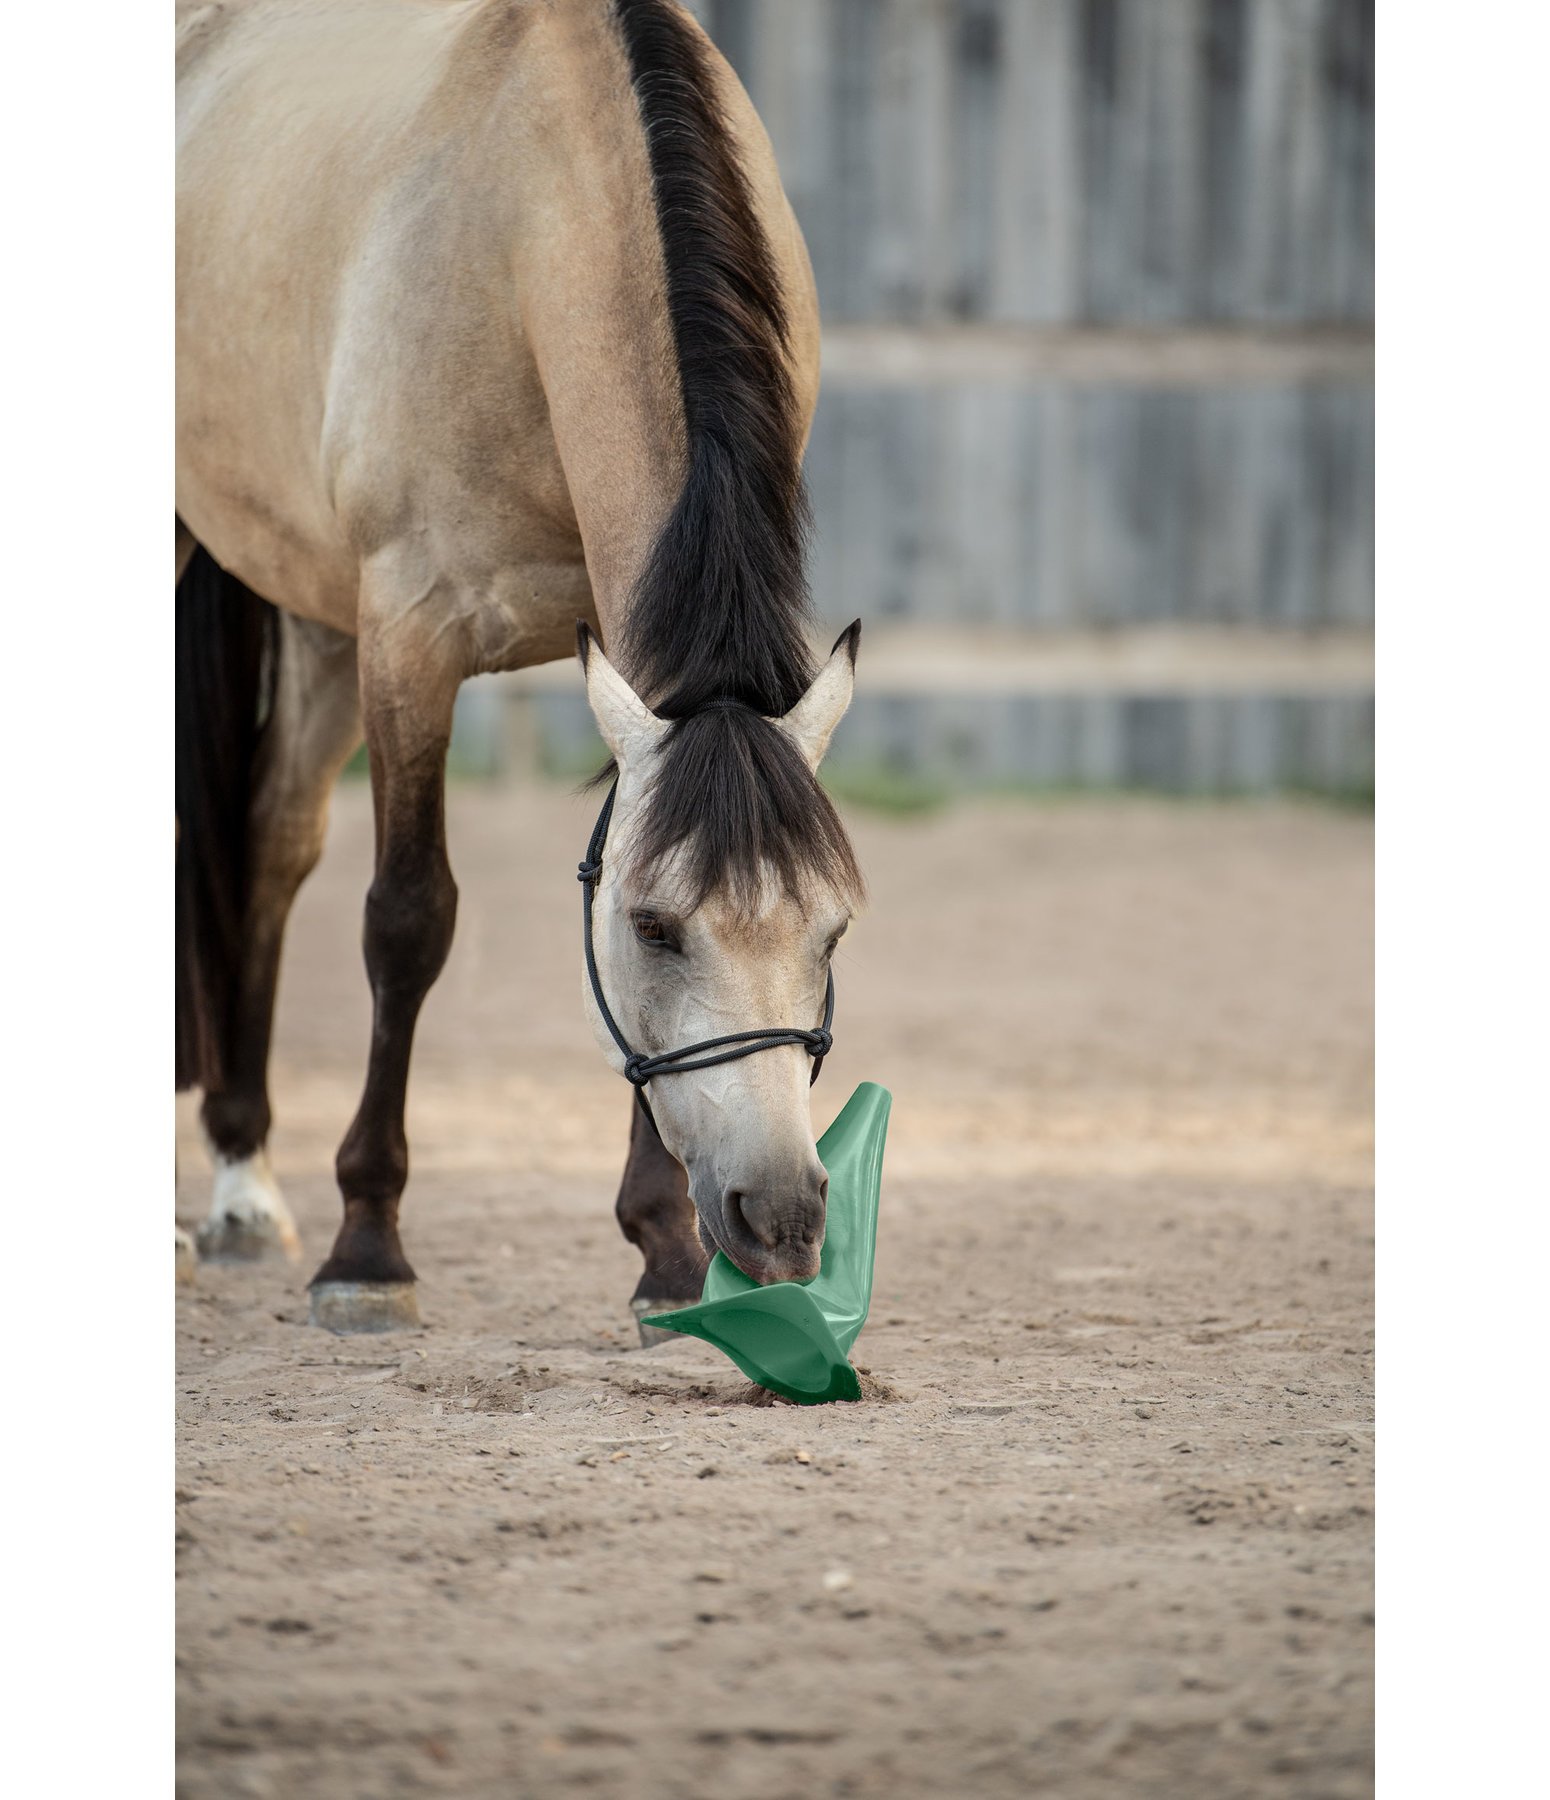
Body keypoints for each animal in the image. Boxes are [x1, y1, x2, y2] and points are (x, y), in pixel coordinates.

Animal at [178, 0, 871, 1339]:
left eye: (833, 930)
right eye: (656, 930)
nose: (778, 1219)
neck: (524, 232)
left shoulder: (618, 634)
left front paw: (662, 1253)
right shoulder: (410, 632)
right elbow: (407, 918)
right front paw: (367, 1249)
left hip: (316, 615)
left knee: (275, 844)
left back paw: (240, 1179)